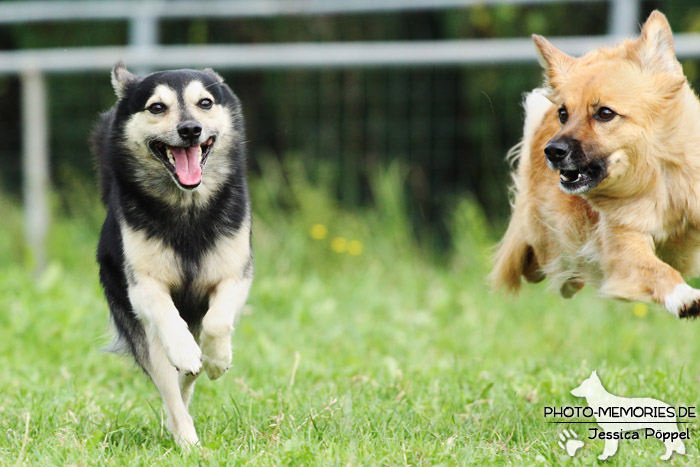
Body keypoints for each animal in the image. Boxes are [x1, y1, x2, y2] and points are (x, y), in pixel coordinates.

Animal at [91, 62, 253, 446]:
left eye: (205, 102)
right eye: (157, 107)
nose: (190, 129)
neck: (186, 209)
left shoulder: (236, 275)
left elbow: (218, 322)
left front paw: (217, 360)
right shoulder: (142, 286)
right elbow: (166, 314)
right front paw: (184, 351)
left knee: (186, 379)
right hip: (143, 333)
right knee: (169, 385)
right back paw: (188, 441)